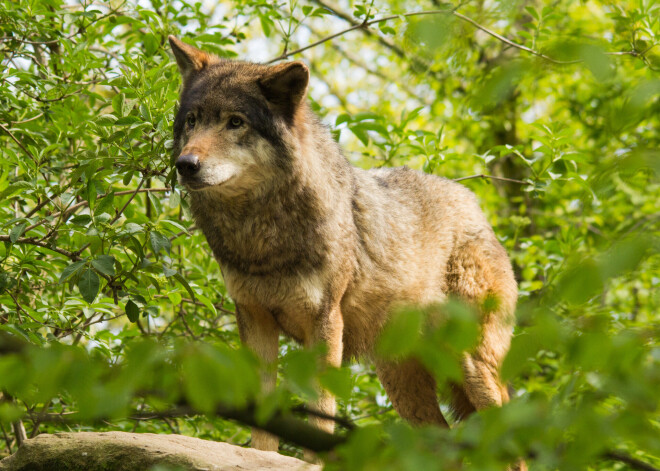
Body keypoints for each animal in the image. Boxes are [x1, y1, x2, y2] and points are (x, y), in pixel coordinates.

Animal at [170, 35, 520, 466]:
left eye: (235, 122)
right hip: (402, 382)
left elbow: (320, 413)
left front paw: (313, 463)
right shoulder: (254, 318)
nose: (186, 164)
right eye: (192, 120)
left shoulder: (325, 322)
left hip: (472, 366)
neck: (260, 238)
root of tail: (477, 209)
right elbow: (264, 422)